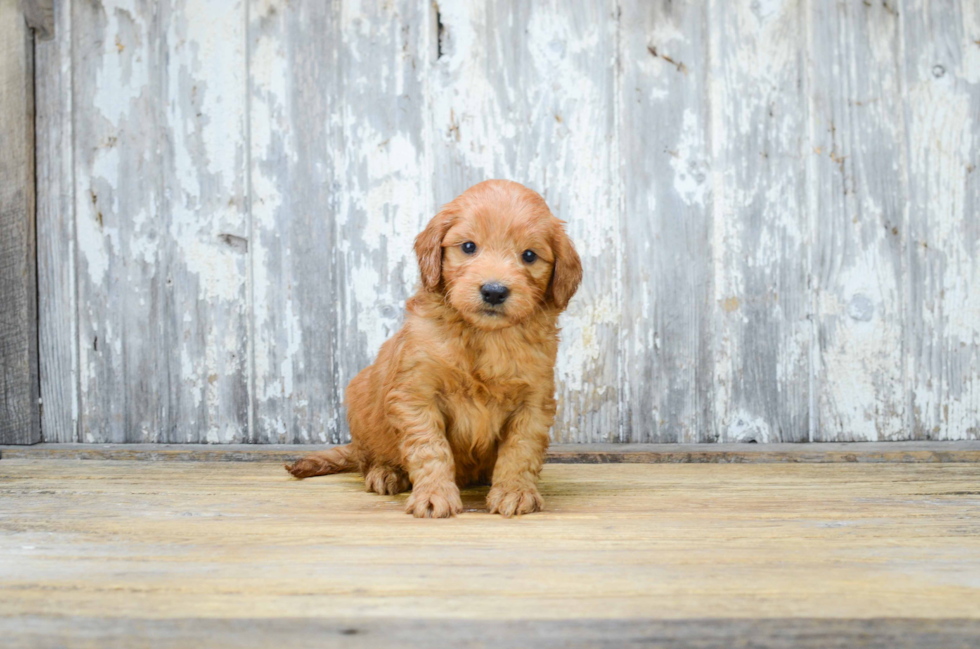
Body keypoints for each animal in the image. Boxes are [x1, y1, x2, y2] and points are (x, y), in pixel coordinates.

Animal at [286, 180, 580, 520]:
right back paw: (386, 471)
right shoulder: (416, 394)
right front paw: (434, 494)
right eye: (469, 247)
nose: (494, 291)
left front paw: (515, 491)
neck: (484, 336)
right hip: (361, 400)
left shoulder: (533, 401)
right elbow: (430, 448)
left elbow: (521, 449)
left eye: (529, 255)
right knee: (365, 456)